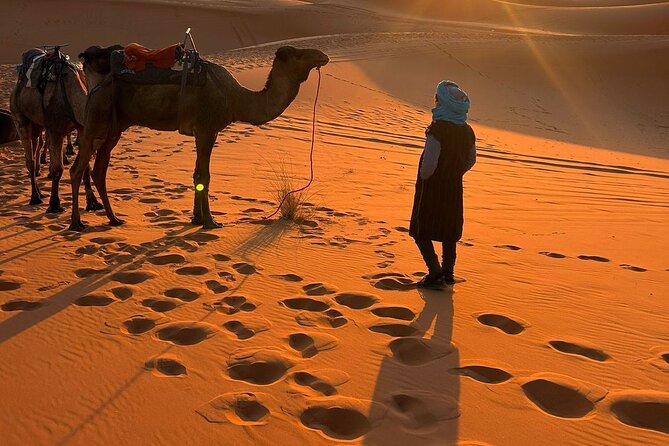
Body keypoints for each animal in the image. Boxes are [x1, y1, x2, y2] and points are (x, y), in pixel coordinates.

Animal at [10, 48, 102, 212]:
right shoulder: (55, 130)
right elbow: (57, 169)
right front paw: (54, 204)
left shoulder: (83, 129)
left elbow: (85, 167)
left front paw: (93, 202)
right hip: (18, 115)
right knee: (29, 158)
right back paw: (35, 197)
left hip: (36, 124)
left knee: (35, 145)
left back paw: (40, 192)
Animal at [70, 45, 329, 231]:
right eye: (299, 53)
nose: (323, 56)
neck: (236, 98)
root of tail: (96, 84)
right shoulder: (207, 129)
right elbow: (205, 175)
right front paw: (210, 222)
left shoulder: (203, 131)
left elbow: (196, 173)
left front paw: (195, 218)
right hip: (96, 119)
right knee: (78, 168)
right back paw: (76, 223)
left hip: (114, 127)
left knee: (99, 170)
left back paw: (114, 219)